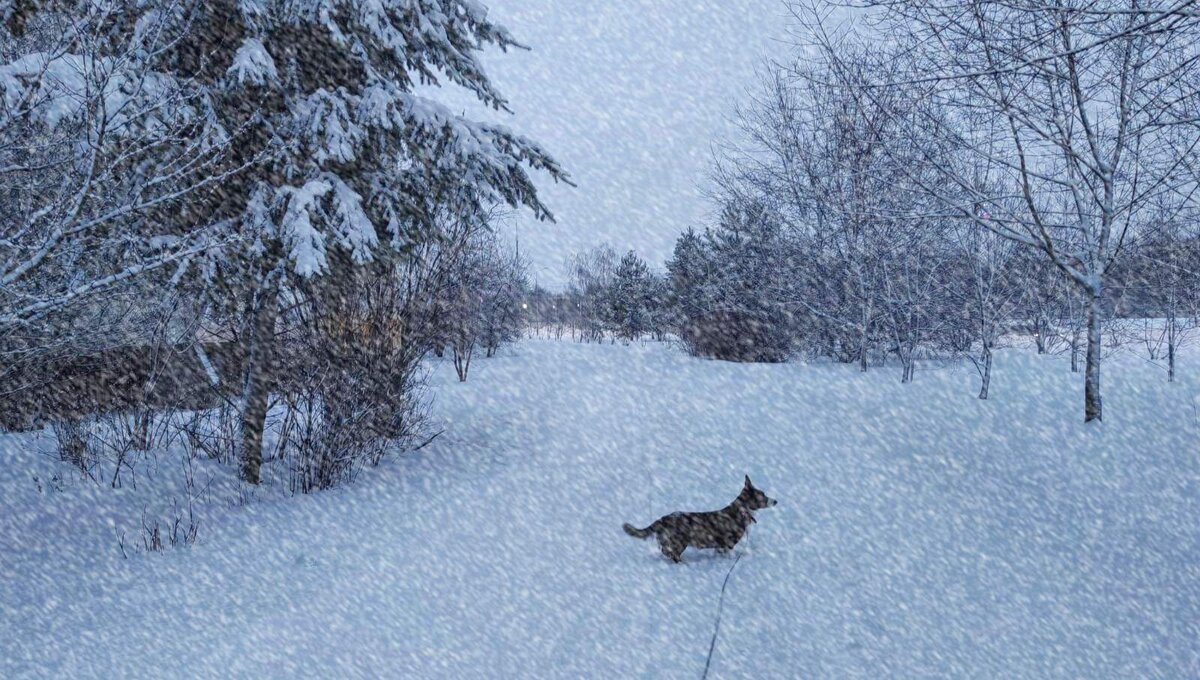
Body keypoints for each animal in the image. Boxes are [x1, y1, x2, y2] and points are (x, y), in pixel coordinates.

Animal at [619, 477, 777, 561]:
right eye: (763, 495)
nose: (775, 501)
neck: (741, 509)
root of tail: (663, 519)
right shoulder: (728, 543)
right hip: (679, 541)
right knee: (672, 554)